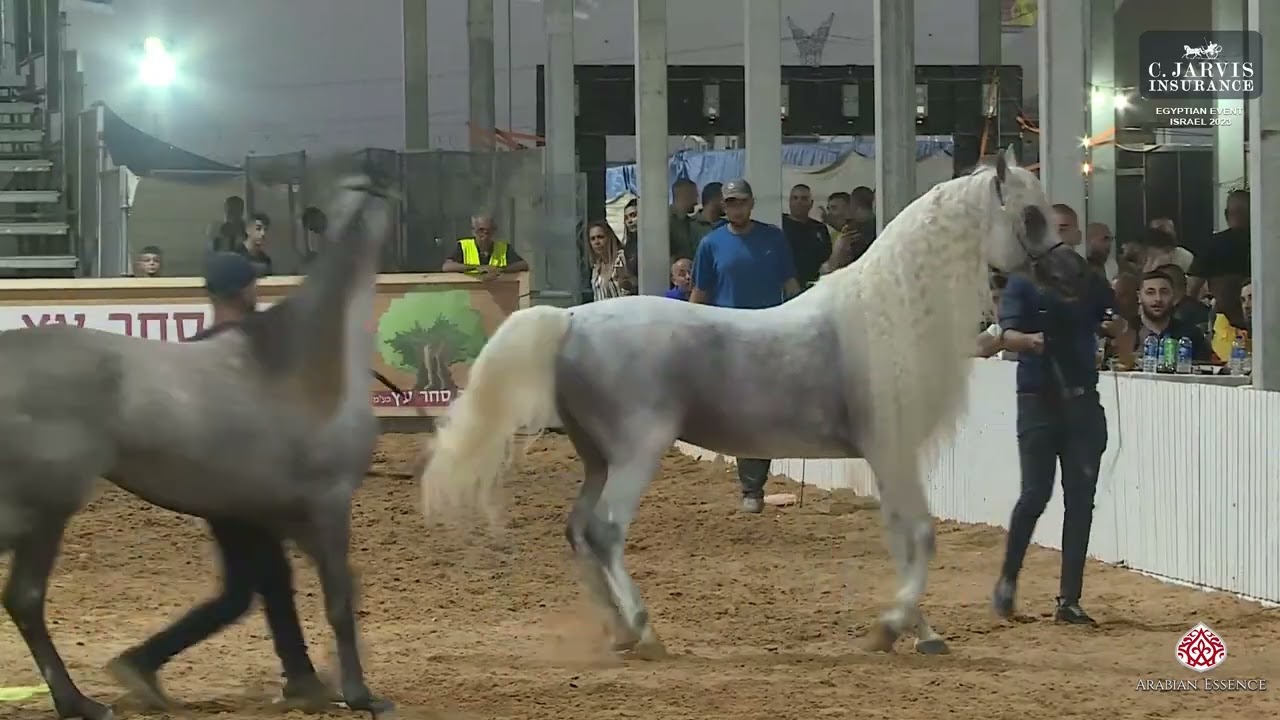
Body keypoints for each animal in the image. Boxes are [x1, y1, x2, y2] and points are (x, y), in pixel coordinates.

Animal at [0, 175, 396, 719]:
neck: (312, 361)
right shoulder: (328, 505)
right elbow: (337, 599)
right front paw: (360, 695)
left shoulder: (278, 515)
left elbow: (283, 591)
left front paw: (315, 684)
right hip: (44, 510)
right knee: (25, 597)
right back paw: (80, 702)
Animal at [419, 146, 1085, 659]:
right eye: (1030, 215)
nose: (1075, 276)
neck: (889, 314)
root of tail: (571, 320)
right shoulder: (891, 451)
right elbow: (920, 536)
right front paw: (894, 627)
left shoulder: (887, 457)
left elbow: (902, 537)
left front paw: (915, 632)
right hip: (636, 453)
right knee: (606, 529)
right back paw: (645, 632)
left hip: (598, 458)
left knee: (580, 529)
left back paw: (618, 631)